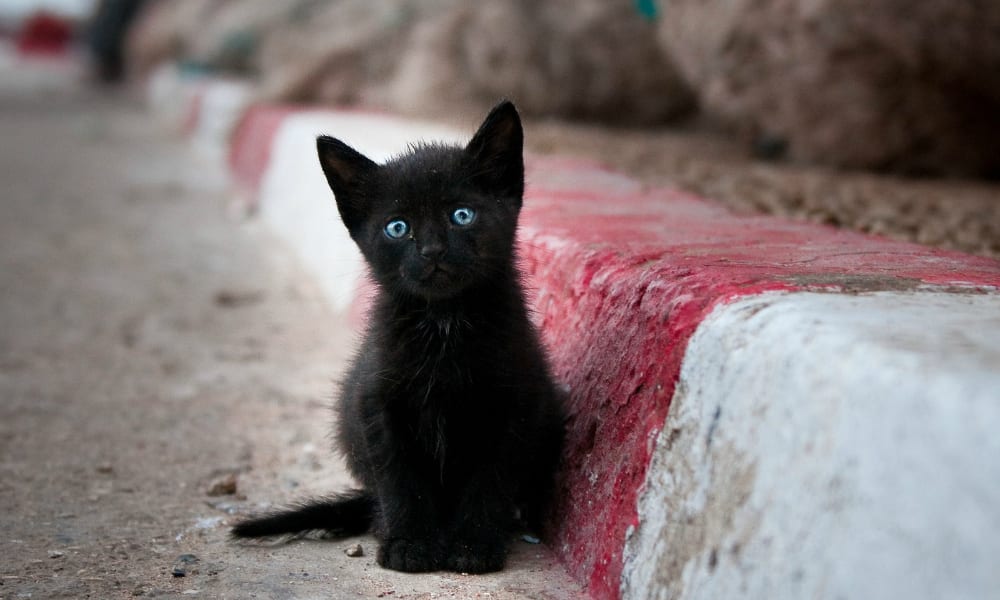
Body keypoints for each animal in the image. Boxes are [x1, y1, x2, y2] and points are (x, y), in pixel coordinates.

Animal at [229, 101, 568, 576]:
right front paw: (409, 543)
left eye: (461, 215)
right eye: (397, 227)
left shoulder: (513, 406)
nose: (431, 251)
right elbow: (399, 478)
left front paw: (474, 545)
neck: (445, 322)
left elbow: (490, 478)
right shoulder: (376, 404)